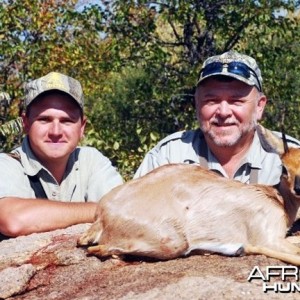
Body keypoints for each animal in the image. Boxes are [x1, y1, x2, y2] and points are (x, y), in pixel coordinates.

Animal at [78, 125, 300, 264]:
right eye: (283, 168)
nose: (298, 187)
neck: (277, 199)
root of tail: (102, 215)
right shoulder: (268, 240)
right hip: (174, 243)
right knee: (99, 250)